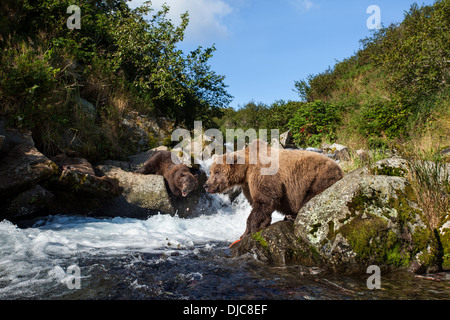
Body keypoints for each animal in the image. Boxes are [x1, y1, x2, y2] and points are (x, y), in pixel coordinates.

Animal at [204, 141, 344, 240]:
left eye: (216, 172)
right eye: (211, 171)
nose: (206, 185)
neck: (246, 170)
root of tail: (340, 169)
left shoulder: (263, 175)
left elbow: (265, 200)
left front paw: (248, 230)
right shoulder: (248, 185)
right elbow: (260, 203)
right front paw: (262, 224)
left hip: (320, 177)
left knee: (311, 199)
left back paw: (292, 215)